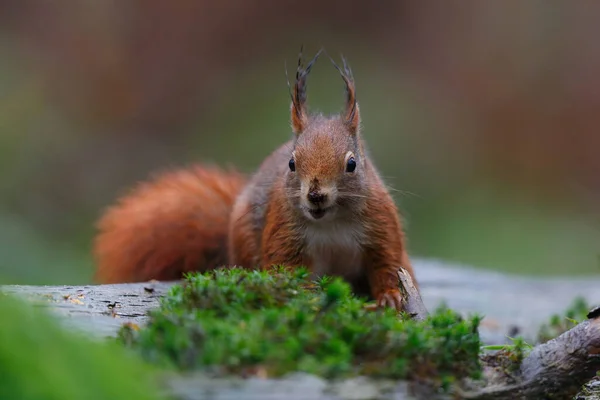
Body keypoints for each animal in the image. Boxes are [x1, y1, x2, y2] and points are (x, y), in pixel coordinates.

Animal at [94, 48, 418, 310]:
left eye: (352, 164)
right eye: (291, 163)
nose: (315, 195)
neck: (331, 222)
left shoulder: (380, 225)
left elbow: (387, 263)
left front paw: (390, 297)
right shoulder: (283, 233)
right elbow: (286, 271)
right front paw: (308, 297)